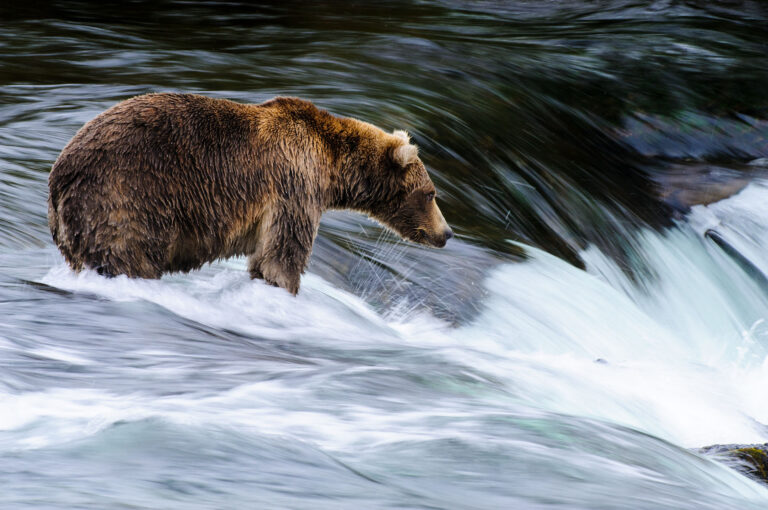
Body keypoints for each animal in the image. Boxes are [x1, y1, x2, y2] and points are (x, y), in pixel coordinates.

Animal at [48, 92, 452, 294]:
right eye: (431, 194)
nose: (447, 233)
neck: (332, 167)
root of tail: (58, 179)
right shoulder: (294, 185)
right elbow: (282, 255)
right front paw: (284, 287)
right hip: (126, 197)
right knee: (130, 254)